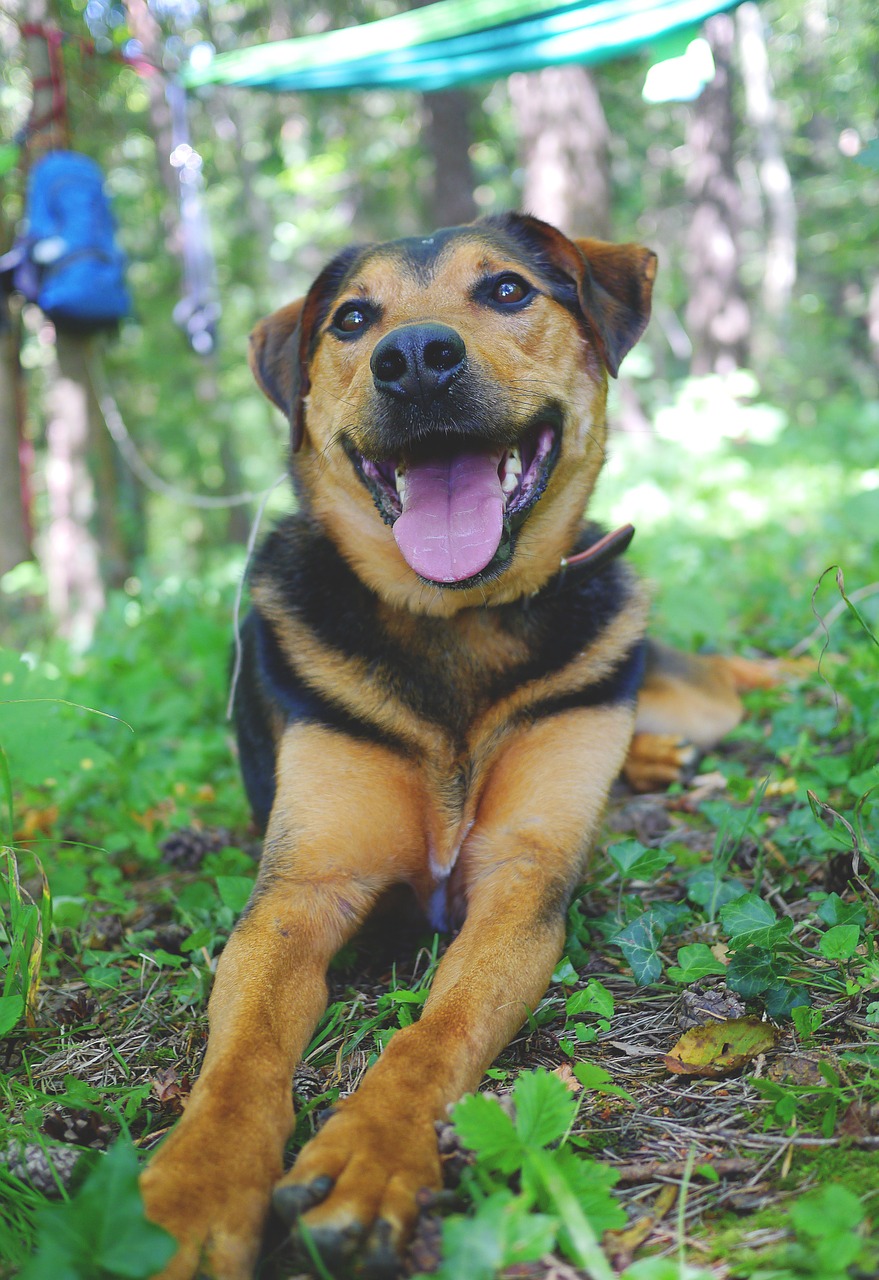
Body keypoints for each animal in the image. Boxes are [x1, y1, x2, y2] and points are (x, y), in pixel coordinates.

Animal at [140, 217, 772, 1280]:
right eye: (353, 320)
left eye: (508, 290)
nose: (414, 360)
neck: (453, 619)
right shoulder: (299, 893)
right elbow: (239, 1062)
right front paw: (192, 1196)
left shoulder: (523, 884)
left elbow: (436, 1034)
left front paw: (369, 1158)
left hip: (683, 693)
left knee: (721, 676)